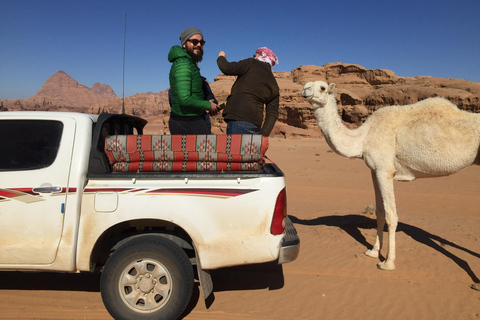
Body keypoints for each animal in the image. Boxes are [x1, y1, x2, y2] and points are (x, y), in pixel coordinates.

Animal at [302, 81, 480, 272]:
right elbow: (379, 212)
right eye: (307, 84)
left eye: (322, 87)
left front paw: (388, 262)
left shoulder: (385, 169)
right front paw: (373, 252)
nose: (304, 90)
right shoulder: (374, 171)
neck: (363, 138)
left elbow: (391, 216)